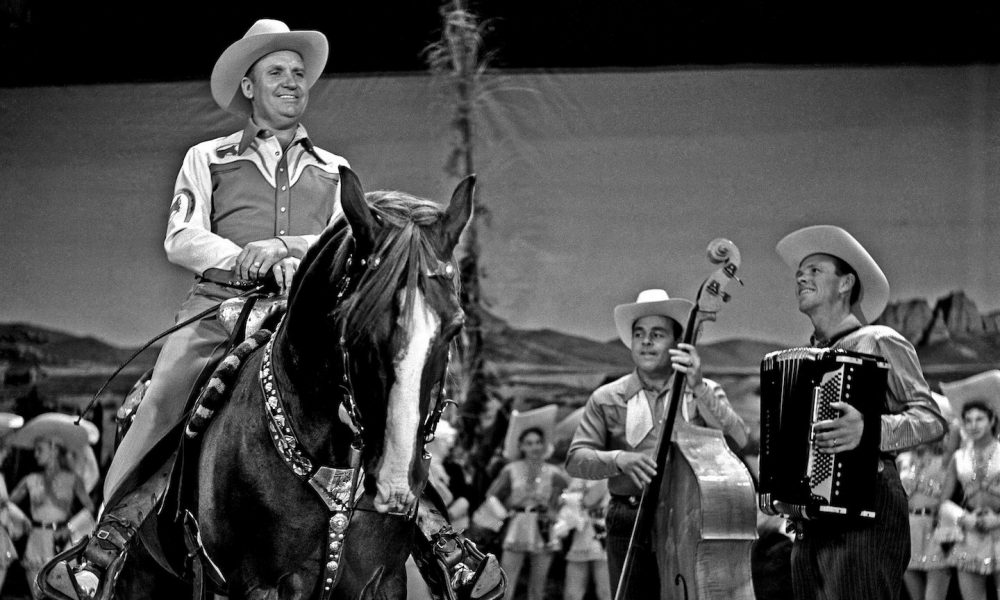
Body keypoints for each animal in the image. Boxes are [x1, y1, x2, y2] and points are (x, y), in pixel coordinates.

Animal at [115, 165, 474, 600]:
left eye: (455, 327)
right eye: (352, 323)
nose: (395, 484)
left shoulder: (381, 581)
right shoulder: (258, 586)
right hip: (144, 574)